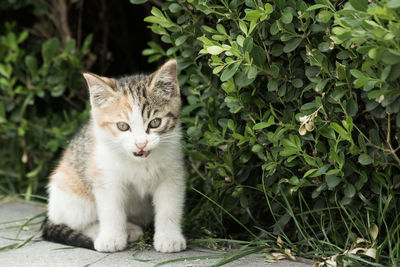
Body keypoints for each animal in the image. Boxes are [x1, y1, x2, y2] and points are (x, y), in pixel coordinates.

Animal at [42, 59, 186, 253]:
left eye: (155, 122)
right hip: (70, 193)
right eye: (123, 126)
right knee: (74, 222)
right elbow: (111, 209)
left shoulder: (172, 174)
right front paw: (111, 238)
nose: (141, 143)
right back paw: (121, 230)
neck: (139, 162)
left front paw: (169, 237)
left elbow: (169, 207)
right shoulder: (105, 176)